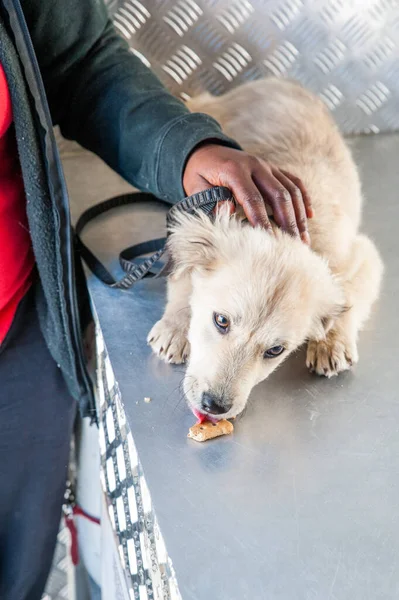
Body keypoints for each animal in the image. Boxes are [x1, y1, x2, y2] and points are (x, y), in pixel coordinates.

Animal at [148, 78, 384, 422]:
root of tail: (281, 81)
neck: (278, 228)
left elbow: (349, 298)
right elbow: (183, 281)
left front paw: (332, 341)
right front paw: (175, 327)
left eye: (275, 351)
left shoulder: (362, 256)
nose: (215, 406)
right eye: (221, 321)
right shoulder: (194, 223)